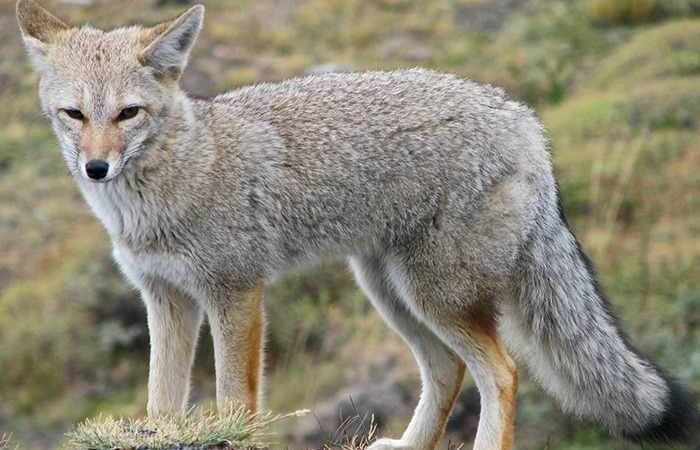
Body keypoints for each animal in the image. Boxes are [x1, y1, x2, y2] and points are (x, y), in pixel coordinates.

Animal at [16, 1, 698, 449]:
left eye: (128, 114)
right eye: (74, 115)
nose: (96, 167)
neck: (175, 180)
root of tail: (522, 118)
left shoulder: (235, 293)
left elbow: (235, 399)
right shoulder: (166, 299)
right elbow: (161, 400)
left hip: (435, 296)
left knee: (501, 372)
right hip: (391, 292)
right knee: (448, 371)